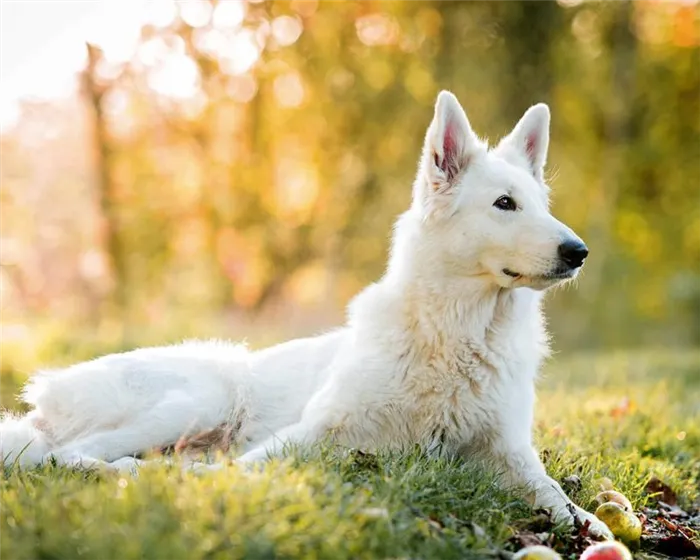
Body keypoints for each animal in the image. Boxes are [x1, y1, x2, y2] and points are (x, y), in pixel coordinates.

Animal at [0, 91, 612, 540]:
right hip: (205, 394)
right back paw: (130, 470)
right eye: (505, 204)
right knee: (65, 455)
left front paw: (593, 528)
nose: (579, 252)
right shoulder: (315, 429)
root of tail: (49, 389)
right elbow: (247, 467)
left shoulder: (509, 452)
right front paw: (201, 483)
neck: (457, 335)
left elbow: (561, 501)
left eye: (543, 206)